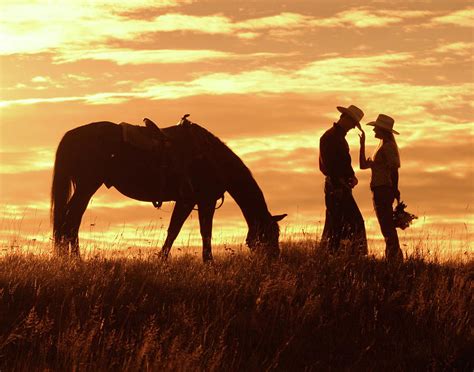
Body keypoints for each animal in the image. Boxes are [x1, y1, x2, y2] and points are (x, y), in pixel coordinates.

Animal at [52, 120, 288, 260]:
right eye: (269, 235)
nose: (275, 259)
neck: (212, 158)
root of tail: (72, 134)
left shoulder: (187, 201)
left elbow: (174, 231)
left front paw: (162, 260)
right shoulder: (204, 200)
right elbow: (204, 233)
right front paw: (208, 264)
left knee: (70, 221)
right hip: (87, 186)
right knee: (71, 220)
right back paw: (76, 261)